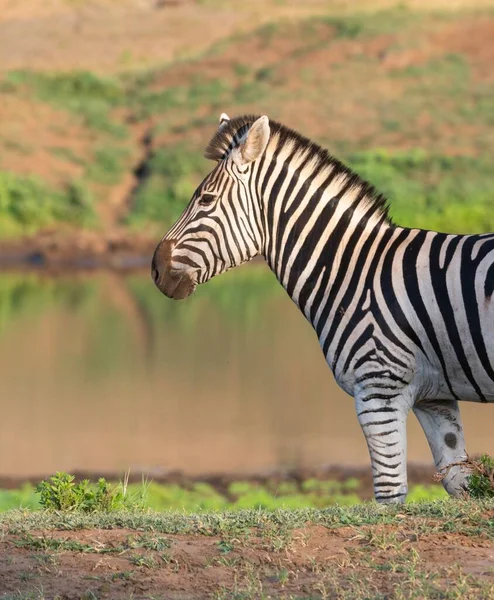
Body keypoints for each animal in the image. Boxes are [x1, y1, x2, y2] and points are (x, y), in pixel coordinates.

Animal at [151, 112, 494, 502]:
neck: (353, 270)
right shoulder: (435, 396)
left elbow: (389, 493)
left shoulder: (379, 391)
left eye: (206, 200)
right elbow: (460, 481)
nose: (155, 268)